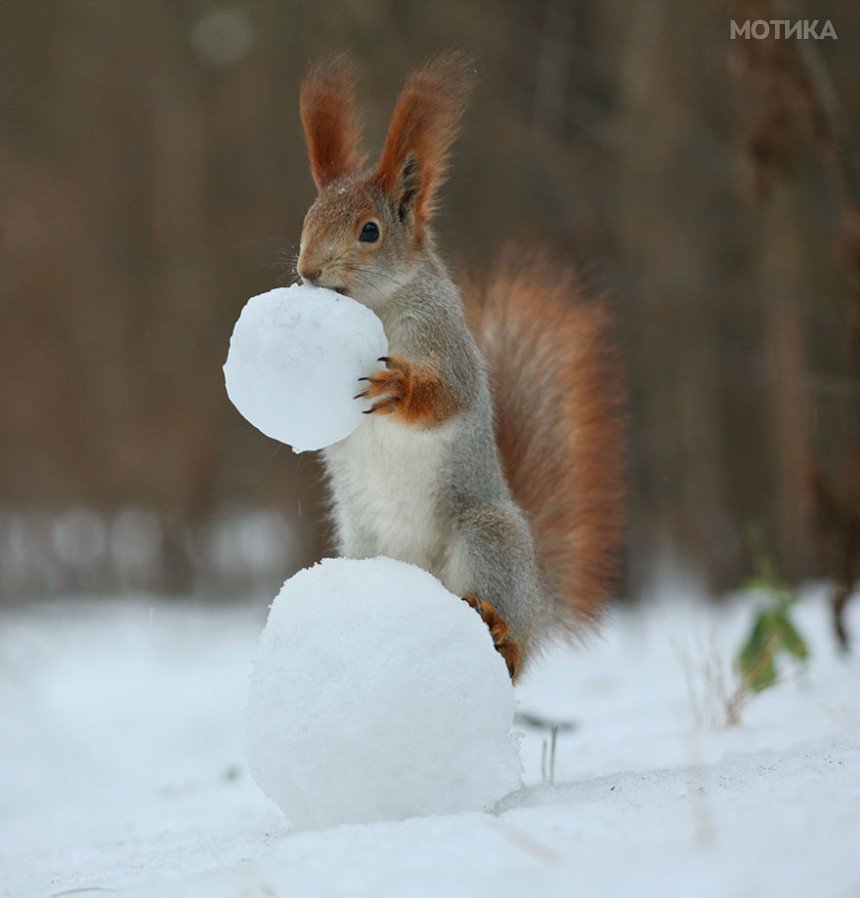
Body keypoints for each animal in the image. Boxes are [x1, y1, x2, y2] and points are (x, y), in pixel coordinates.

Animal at [292, 50, 620, 680]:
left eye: (369, 231)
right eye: (307, 217)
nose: (308, 272)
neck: (379, 305)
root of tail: (539, 604)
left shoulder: (445, 339)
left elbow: (453, 395)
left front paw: (399, 389)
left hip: (487, 538)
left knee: (508, 641)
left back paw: (501, 635)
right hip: (362, 543)